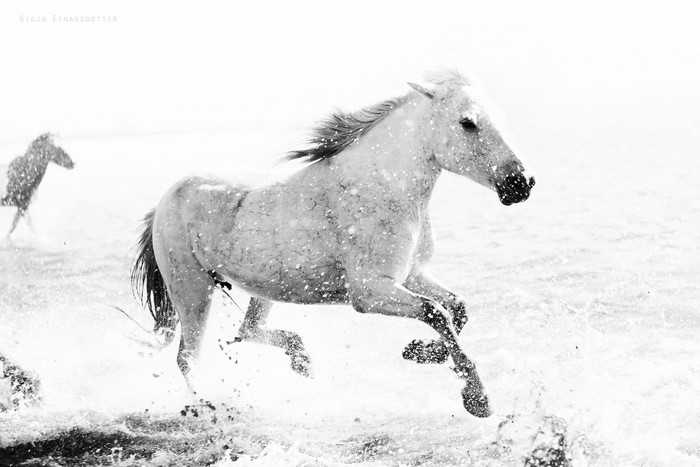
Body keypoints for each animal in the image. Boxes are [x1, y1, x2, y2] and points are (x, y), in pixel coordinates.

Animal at [132, 69, 535, 418]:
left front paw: (419, 353)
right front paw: (477, 400)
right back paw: (213, 407)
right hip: (193, 291)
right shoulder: (369, 292)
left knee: (244, 332)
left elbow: (456, 308)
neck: (381, 187)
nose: (521, 183)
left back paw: (302, 361)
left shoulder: (411, 275)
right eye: (467, 122)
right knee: (188, 358)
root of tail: (164, 201)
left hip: (264, 288)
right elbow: (436, 312)